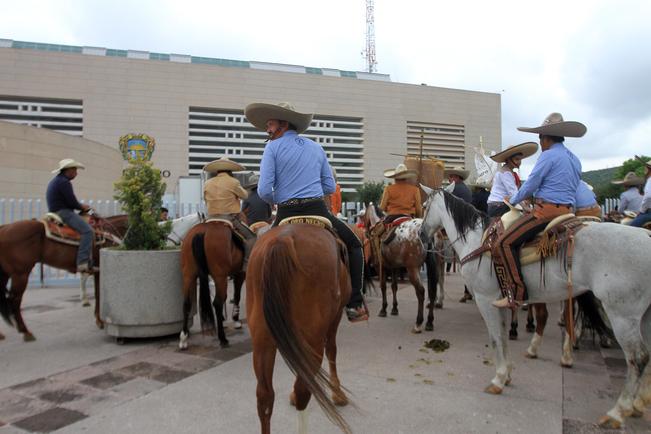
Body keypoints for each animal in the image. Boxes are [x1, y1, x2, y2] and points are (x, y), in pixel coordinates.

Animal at [177, 222, 246, 350]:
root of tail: (201, 232)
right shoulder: (240, 273)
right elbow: (236, 295)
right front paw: (235, 319)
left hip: (188, 274)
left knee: (186, 304)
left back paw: (184, 338)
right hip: (220, 276)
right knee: (217, 303)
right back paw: (223, 339)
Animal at [248, 224, 352, 434]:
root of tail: (282, 241)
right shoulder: (335, 317)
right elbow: (332, 350)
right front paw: (337, 393)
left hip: (262, 340)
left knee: (265, 396)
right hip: (312, 340)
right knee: (303, 390)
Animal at [420, 187, 651, 430]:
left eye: (425, 206)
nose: (421, 235)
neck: (477, 241)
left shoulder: (485, 299)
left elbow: (495, 338)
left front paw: (498, 379)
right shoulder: (500, 300)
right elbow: (503, 336)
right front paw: (507, 375)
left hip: (622, 316)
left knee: (638, 357)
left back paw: (617, 412)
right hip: (644, 316)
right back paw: (638, 404)